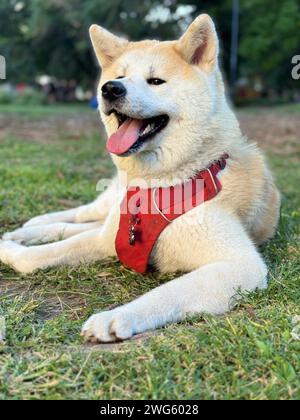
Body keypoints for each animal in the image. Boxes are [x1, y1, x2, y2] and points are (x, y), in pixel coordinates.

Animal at [0, 14, 282, 342]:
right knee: (82, 215)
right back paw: (35, 225)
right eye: (120, 76)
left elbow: (167, 292)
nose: (110, 88)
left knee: (83, 224)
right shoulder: (109, 240)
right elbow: (36, 257)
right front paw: (15, 250)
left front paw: (116, 316)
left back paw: (27, 231)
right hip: (108, 206)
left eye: (156, 81)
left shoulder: (242, 265)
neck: (159, 184)